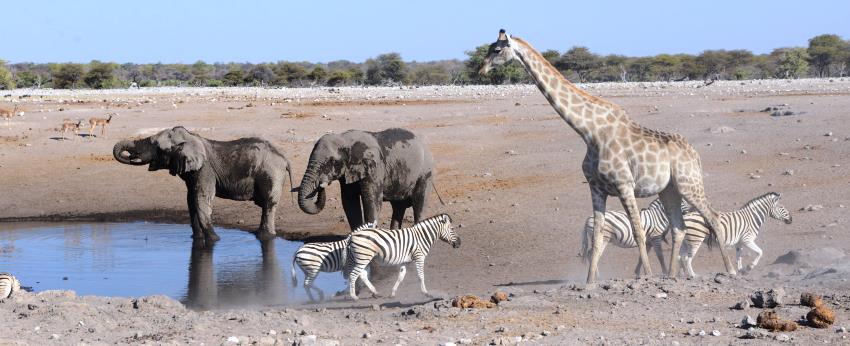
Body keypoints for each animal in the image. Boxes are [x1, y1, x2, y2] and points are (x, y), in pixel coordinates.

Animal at [112, 126, 294, 243]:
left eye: (155, 146)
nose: (132, 157)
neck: (191, 137)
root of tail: (284, 158)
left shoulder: (205, 170)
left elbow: (201, 199)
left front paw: (214, 240)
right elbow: (191, 200)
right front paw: (197, 239)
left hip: (271, 173)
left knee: (269, 204)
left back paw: (264, 237)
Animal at [294, 127, 438, 230]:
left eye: (332, 162)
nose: (321, 185)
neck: (345, 139)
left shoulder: (374, 168)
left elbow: (372, 201)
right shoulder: (347, 173)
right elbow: (349, 202)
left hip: (425, 172)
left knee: (419, 203)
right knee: (398, 207)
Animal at [476, 29, 736, 282]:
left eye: (497, 50)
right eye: (488, 48)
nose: (481, 70)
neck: (589, 131)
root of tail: (695, 153)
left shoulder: (624, 184)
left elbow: (638, 231)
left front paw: (647, 276)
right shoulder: (596, 188)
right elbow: (599, 235)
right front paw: (590, 281)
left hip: (688, 183)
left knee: (713, 217)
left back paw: (730, 270)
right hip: (669, 189)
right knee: (678, 227)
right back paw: (671, 276)